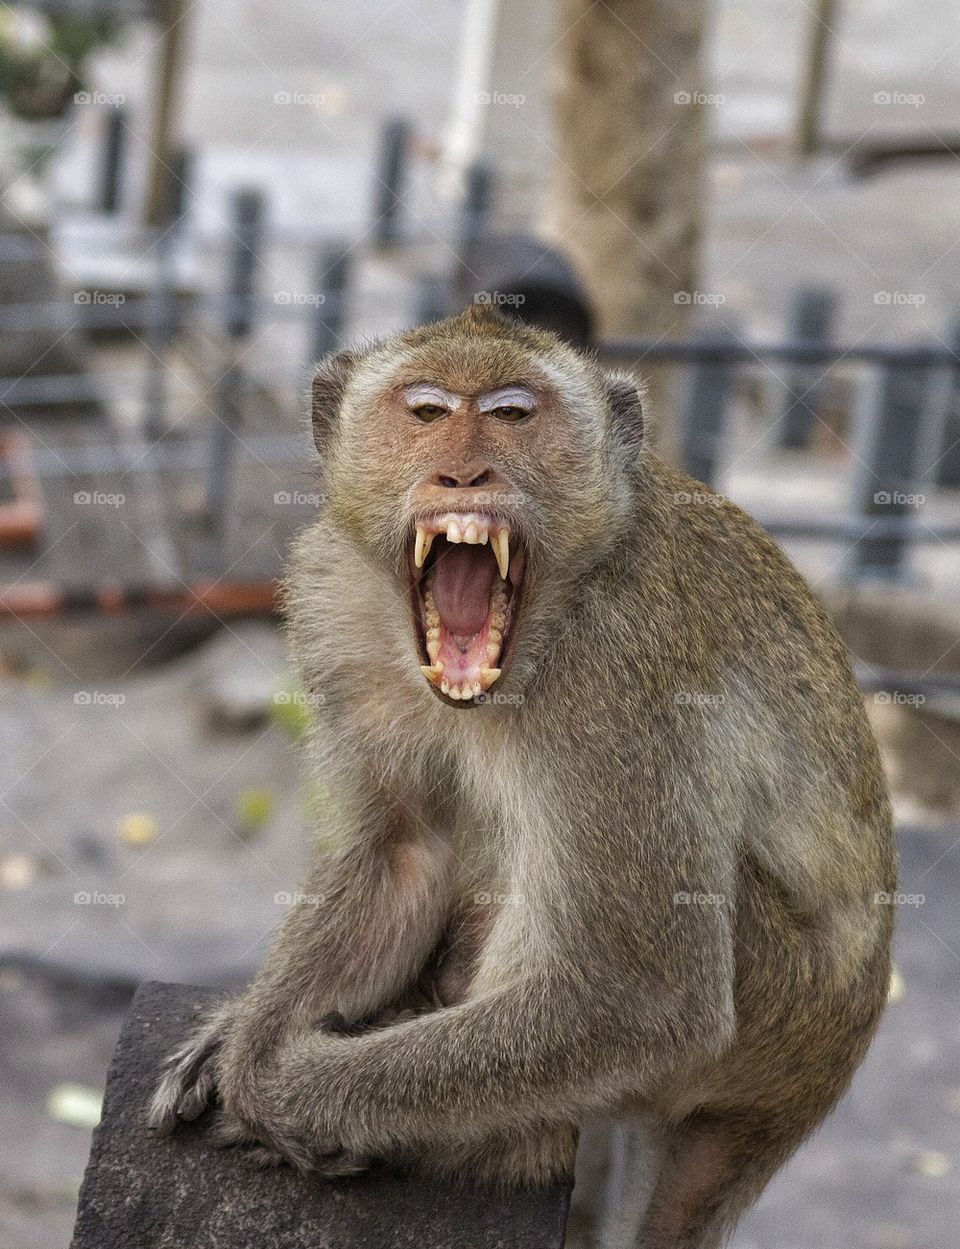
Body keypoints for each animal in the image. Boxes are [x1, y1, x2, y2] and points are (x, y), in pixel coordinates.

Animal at [147, 304, 888, 1249]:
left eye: (513, 414)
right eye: (426, 411)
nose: (465, 470)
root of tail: (820, 1078)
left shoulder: (619, 678)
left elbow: (641, 995)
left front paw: (288, 1091)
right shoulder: (332, 605)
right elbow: (404, 853)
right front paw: (246, 1044)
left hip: (782, 1012)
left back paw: (503, 1141)